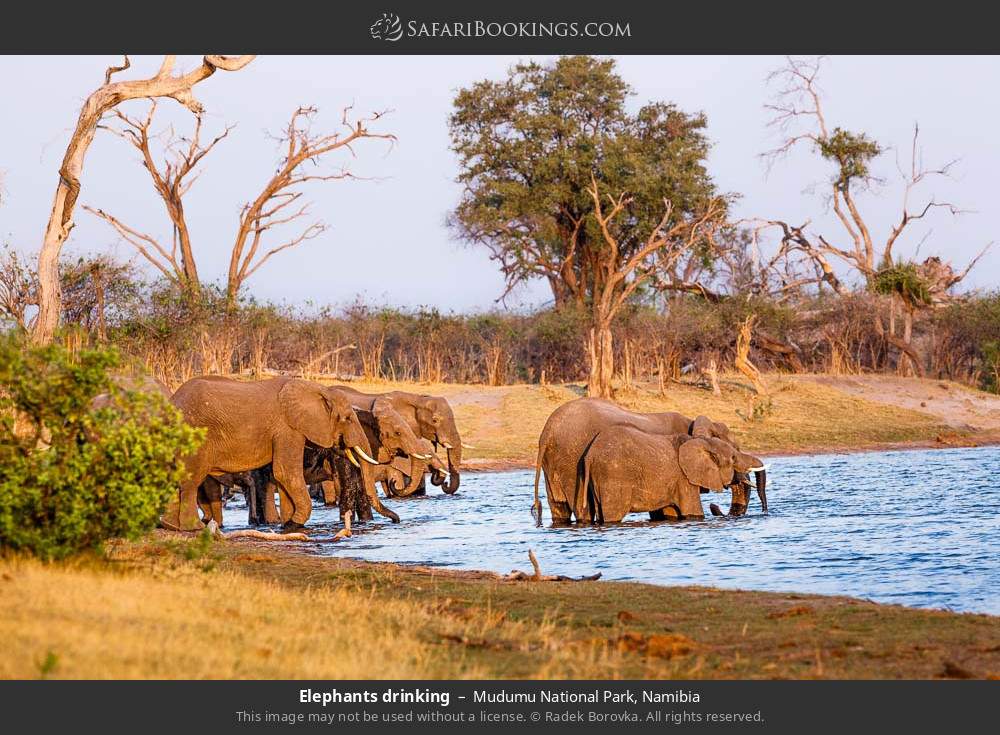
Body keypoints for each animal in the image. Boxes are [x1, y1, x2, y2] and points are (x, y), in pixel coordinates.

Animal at [166, 376, 396, 532]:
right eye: (347, 418)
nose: (396, 520)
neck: (316, 389)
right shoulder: (288, 429)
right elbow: (285, 472)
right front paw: (294, 523)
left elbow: (283, 476)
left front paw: (288, 524)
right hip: (194, 438)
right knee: (191, 479)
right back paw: (194, 527)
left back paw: (170, 525)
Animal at [580, 428, 764, 528]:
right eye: (733, 458)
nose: (764, 511)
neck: (701, 441)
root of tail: (590, 455)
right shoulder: (684, 479)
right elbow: (693, 511)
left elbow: (672, 512)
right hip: (613, 477)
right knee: (613, 514)